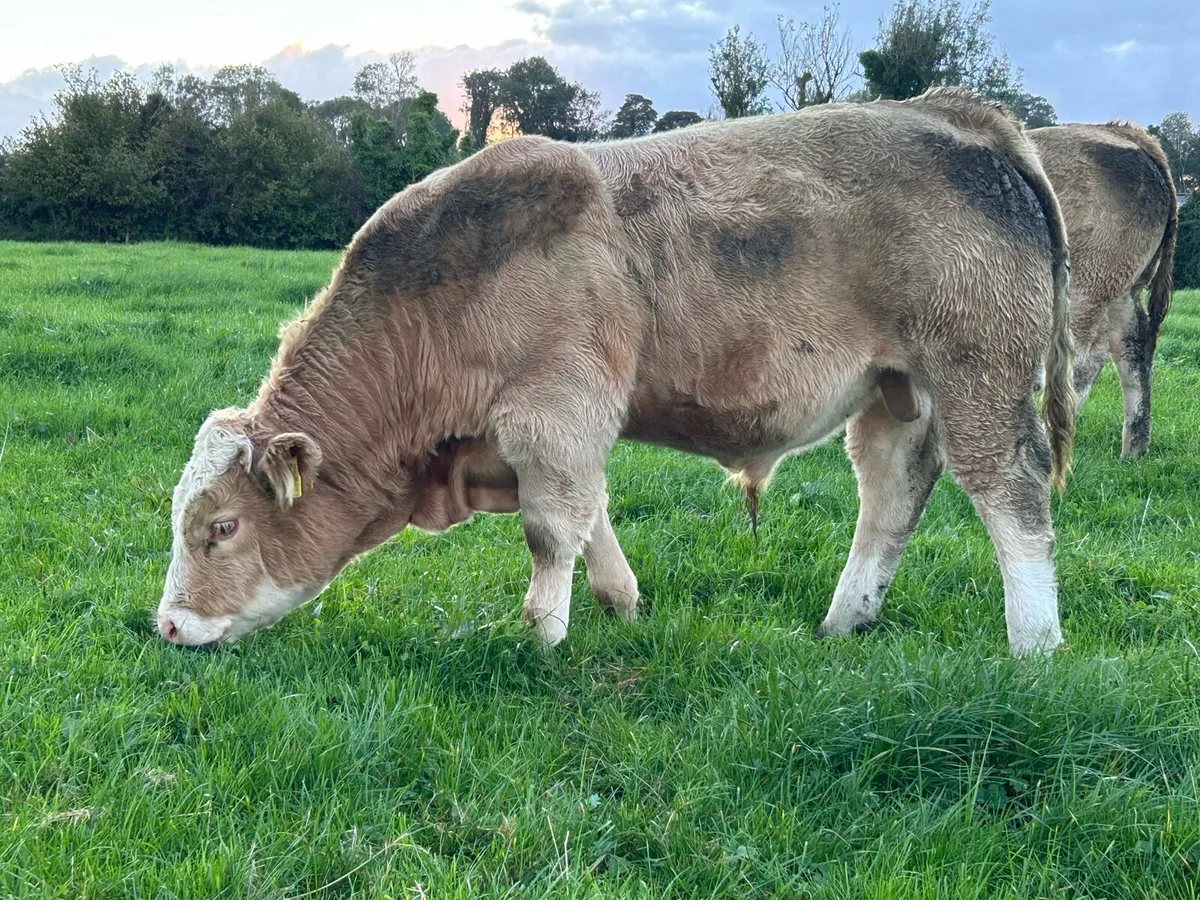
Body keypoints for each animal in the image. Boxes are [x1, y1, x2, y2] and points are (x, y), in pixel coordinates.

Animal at [157, 87, 1075, 658]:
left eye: (222, 527)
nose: (167, 626)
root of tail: (960, 115)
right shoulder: (554, 434)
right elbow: (588, 515)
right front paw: (620, 603)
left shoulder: (555, 412)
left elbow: (549, 529)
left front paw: (540, 640)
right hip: (898, 393)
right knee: (889, 499)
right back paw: (844, 623)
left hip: (978, 372)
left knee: (1011, 493)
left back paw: (1034, 644)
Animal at [1028, 123, 1177, 458]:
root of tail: (1124, 132)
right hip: (1123, 286)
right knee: (1133, 348)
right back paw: (1133, 451)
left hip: (1086, 284)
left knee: (1080, 361)